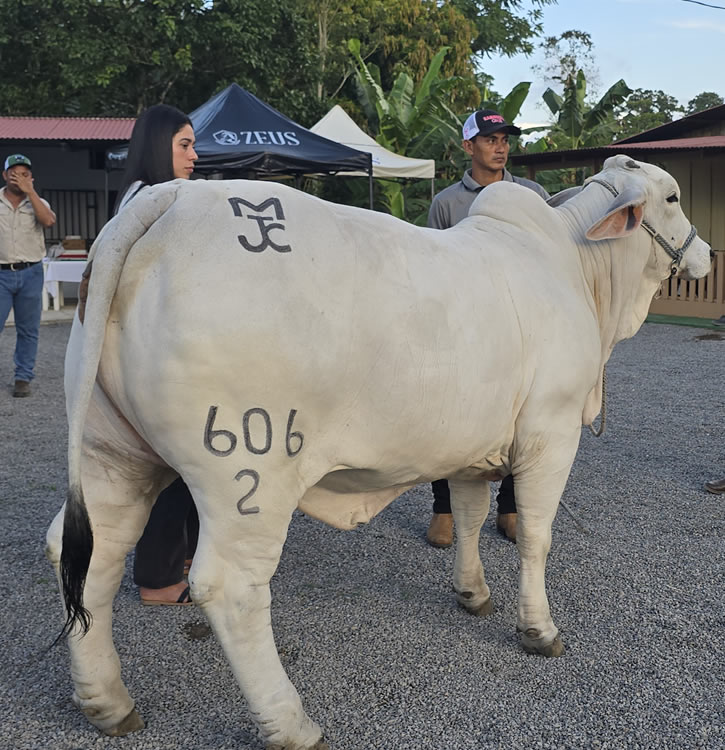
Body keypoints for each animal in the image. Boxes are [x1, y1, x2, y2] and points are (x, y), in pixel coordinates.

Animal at [46, 156, 712, 748]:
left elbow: (469, 517)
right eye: (674, 196)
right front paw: (539, 629)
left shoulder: (472, 447)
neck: (580, 270)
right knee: (231, 587)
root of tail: (173, 199)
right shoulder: (551, 434)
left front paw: (473, 594)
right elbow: (535, 536)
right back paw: (290, 724)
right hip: (246, 468)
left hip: (113, 454)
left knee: (85, 553)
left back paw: (106, 702)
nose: (706, 254)